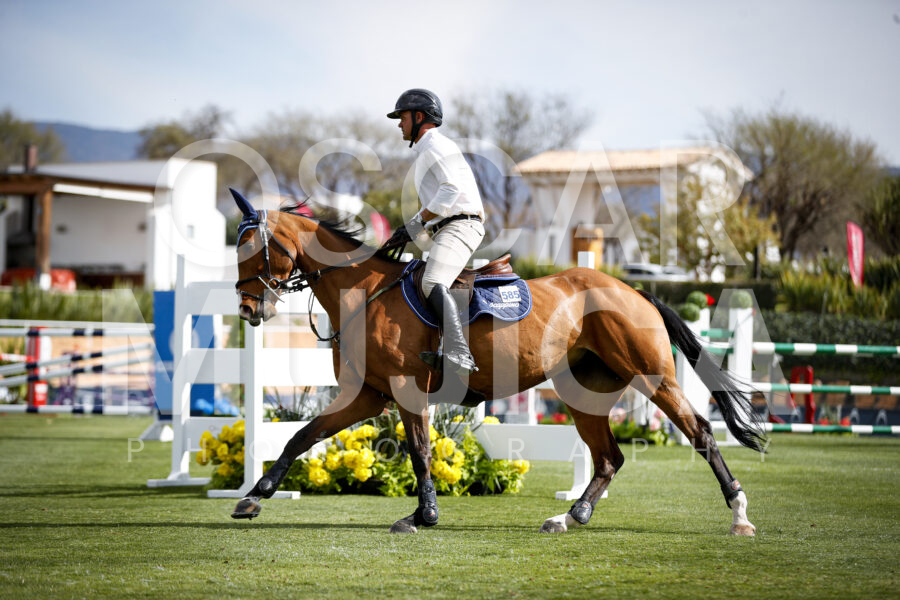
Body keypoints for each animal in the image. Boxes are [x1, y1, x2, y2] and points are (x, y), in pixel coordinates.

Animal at [228, 189, 764, 535]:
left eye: (250, 249)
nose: (249, 311)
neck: (365, 293)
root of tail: (633, 291)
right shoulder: (367, 395)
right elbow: (303, 436)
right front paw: (255, 495)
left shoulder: (404, 389)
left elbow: (419, 452)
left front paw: (423, 516)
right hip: (582, 392)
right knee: (610, 457)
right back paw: (569, 517)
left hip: (652, 378)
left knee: (700, 433)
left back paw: (740, 515)